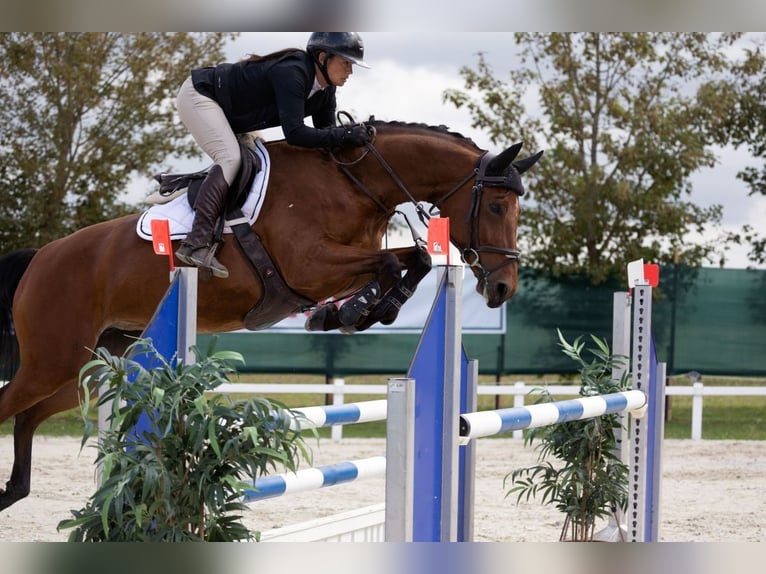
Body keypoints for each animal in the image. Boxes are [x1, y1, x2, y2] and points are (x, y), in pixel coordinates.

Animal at [0, 120, 544, 512]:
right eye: (498, 206)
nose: (502, 288)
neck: (355, 183)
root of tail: (41, 257)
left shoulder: (345, 263)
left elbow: (416, 260)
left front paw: (357, 312)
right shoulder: (311, 266)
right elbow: (394, 263)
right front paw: (358, 311)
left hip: (94, 366)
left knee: (26, 416)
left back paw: (14, 491)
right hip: (53, 361)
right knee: (11, 405)